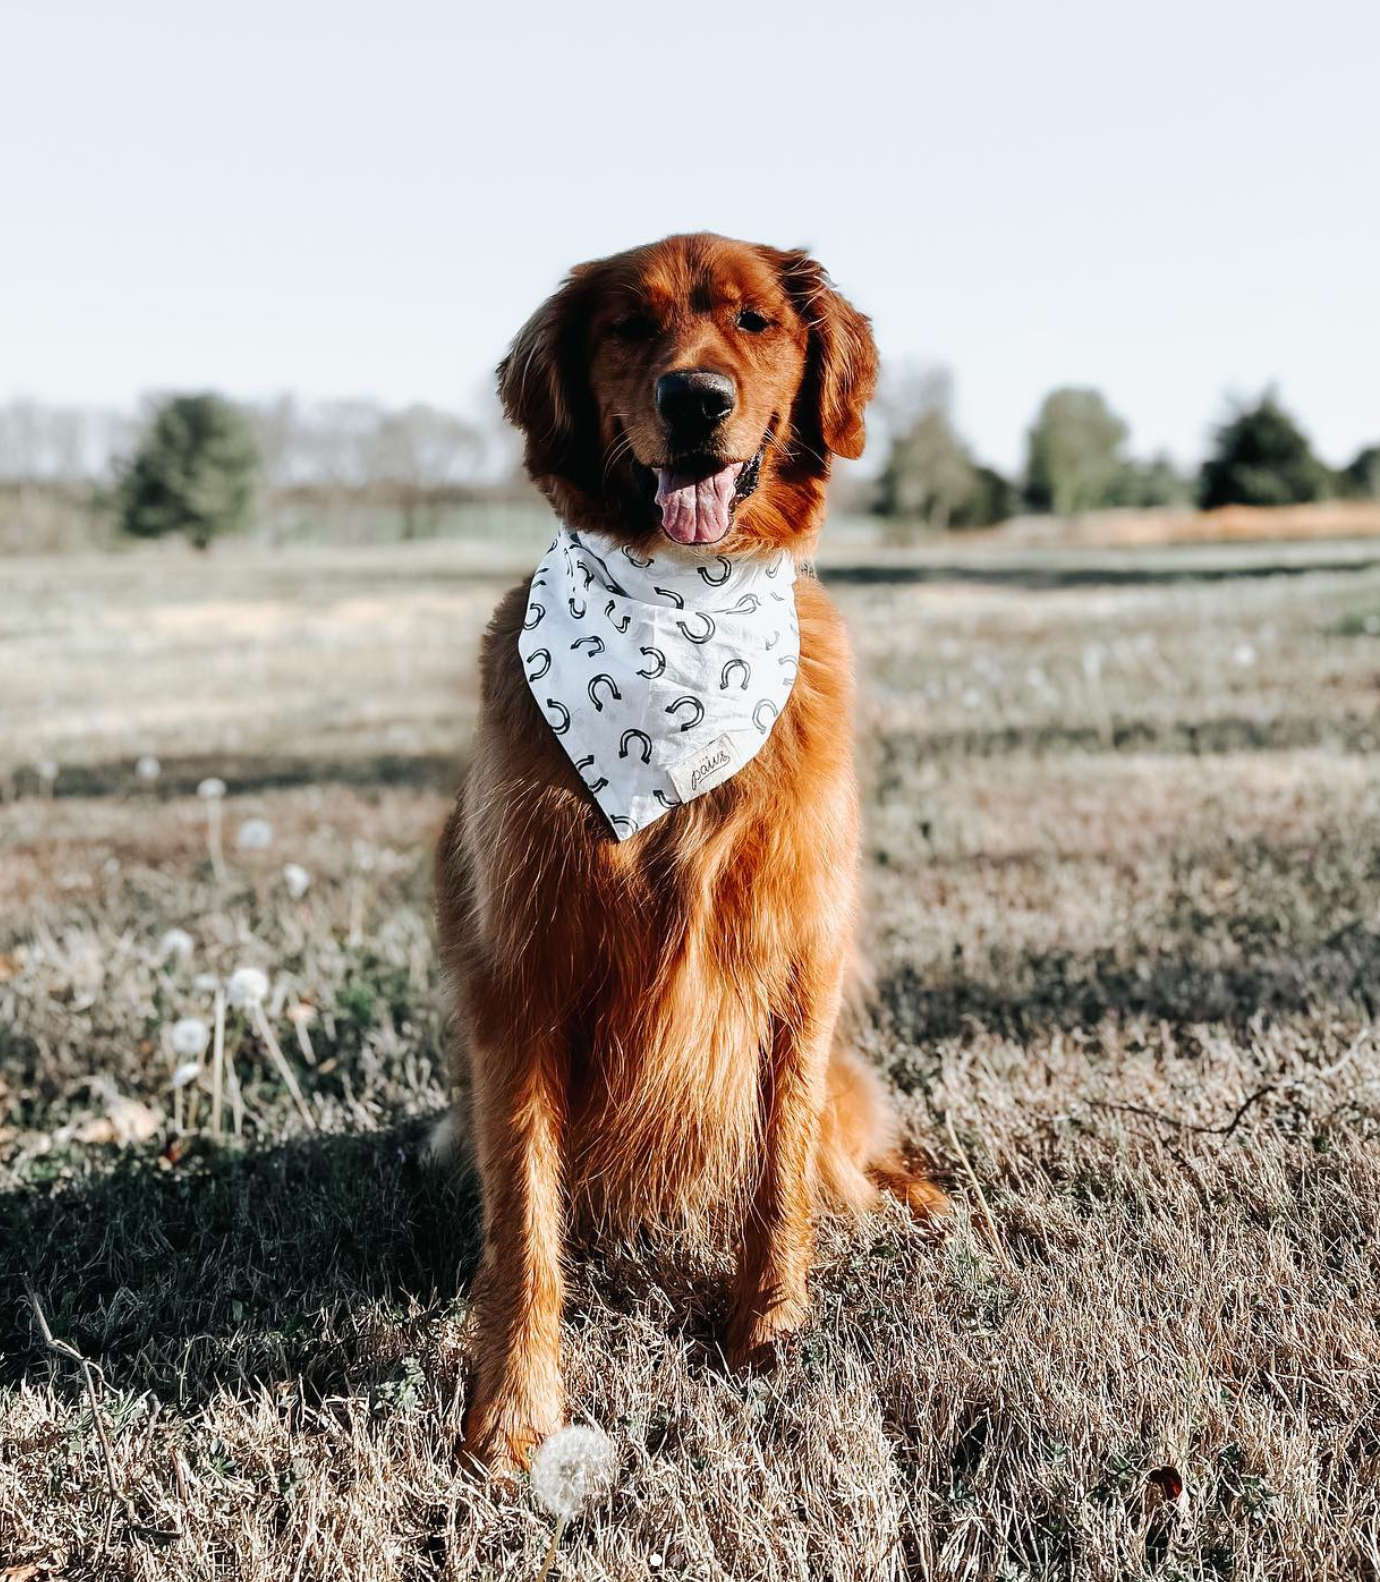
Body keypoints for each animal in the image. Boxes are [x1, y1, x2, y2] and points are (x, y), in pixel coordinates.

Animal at [433, 230, 949, 1468]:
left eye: (754, 321)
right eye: (629, 327)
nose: (696, 397)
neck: (680, 611)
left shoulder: (801, 960)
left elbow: (779, 1170)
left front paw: (766, 1333)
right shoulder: (521, 975)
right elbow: (525, 1208)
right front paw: (512, 1412)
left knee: (851, 1159)